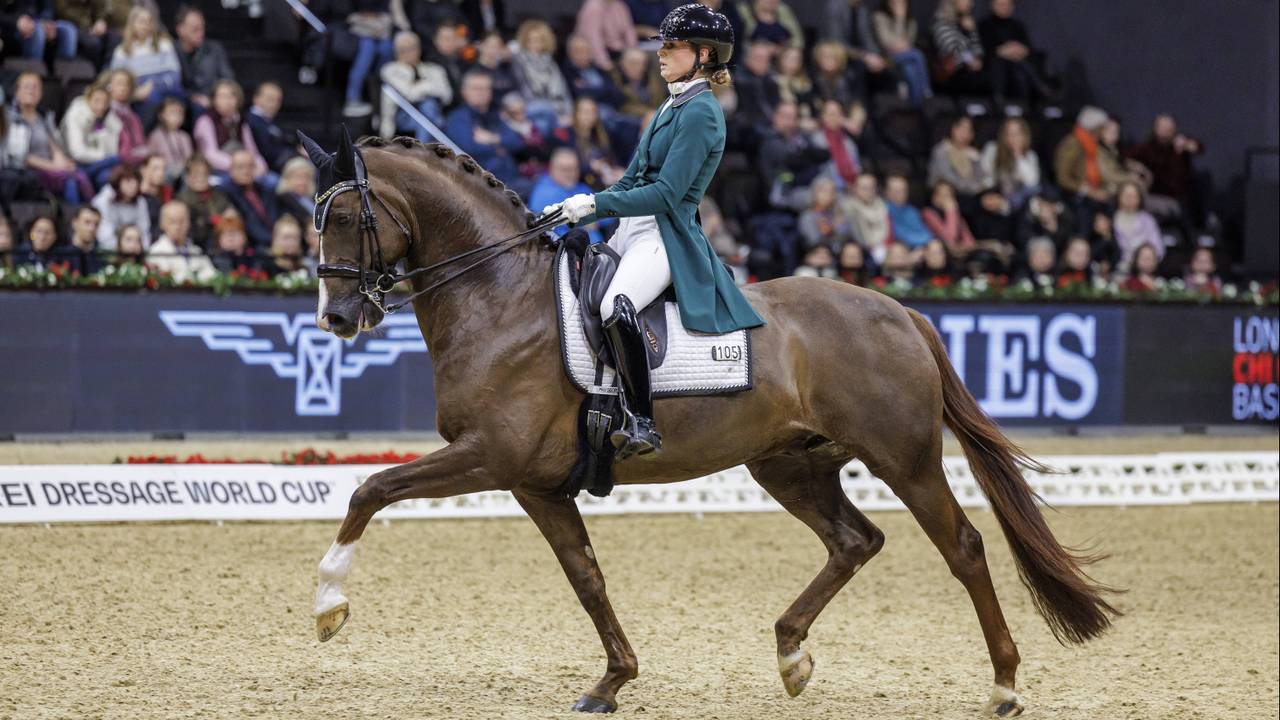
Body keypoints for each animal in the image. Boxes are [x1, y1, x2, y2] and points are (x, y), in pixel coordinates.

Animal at [303, 131, 1118, 717]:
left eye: (343, 218)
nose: (337, 319)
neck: (500, 296)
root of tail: (901, 310)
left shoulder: (490, 458)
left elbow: (370, 489)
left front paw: (328, 606)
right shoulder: (536, 484)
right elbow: (586, 577)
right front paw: (612, 682)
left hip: (904, 458)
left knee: (964, 548)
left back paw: (1004, 686)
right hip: (790, 463)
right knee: (855, 540)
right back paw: (791, 656)